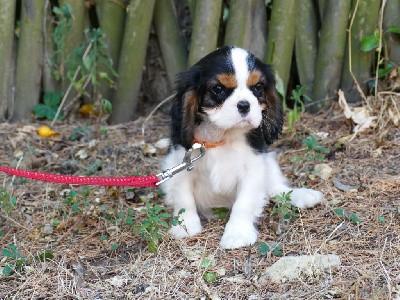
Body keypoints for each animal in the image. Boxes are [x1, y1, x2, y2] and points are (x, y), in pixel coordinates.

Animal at [159, 46, 322, 248]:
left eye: (258, 87)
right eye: (218, 89)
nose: (244, 105)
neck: (222, 137)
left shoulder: (253, 168)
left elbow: (243, 203)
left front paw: (237, 233)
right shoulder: (181, 166)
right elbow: (184, 200)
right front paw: (186, 227)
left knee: (275, 188)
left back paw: (302, 196)